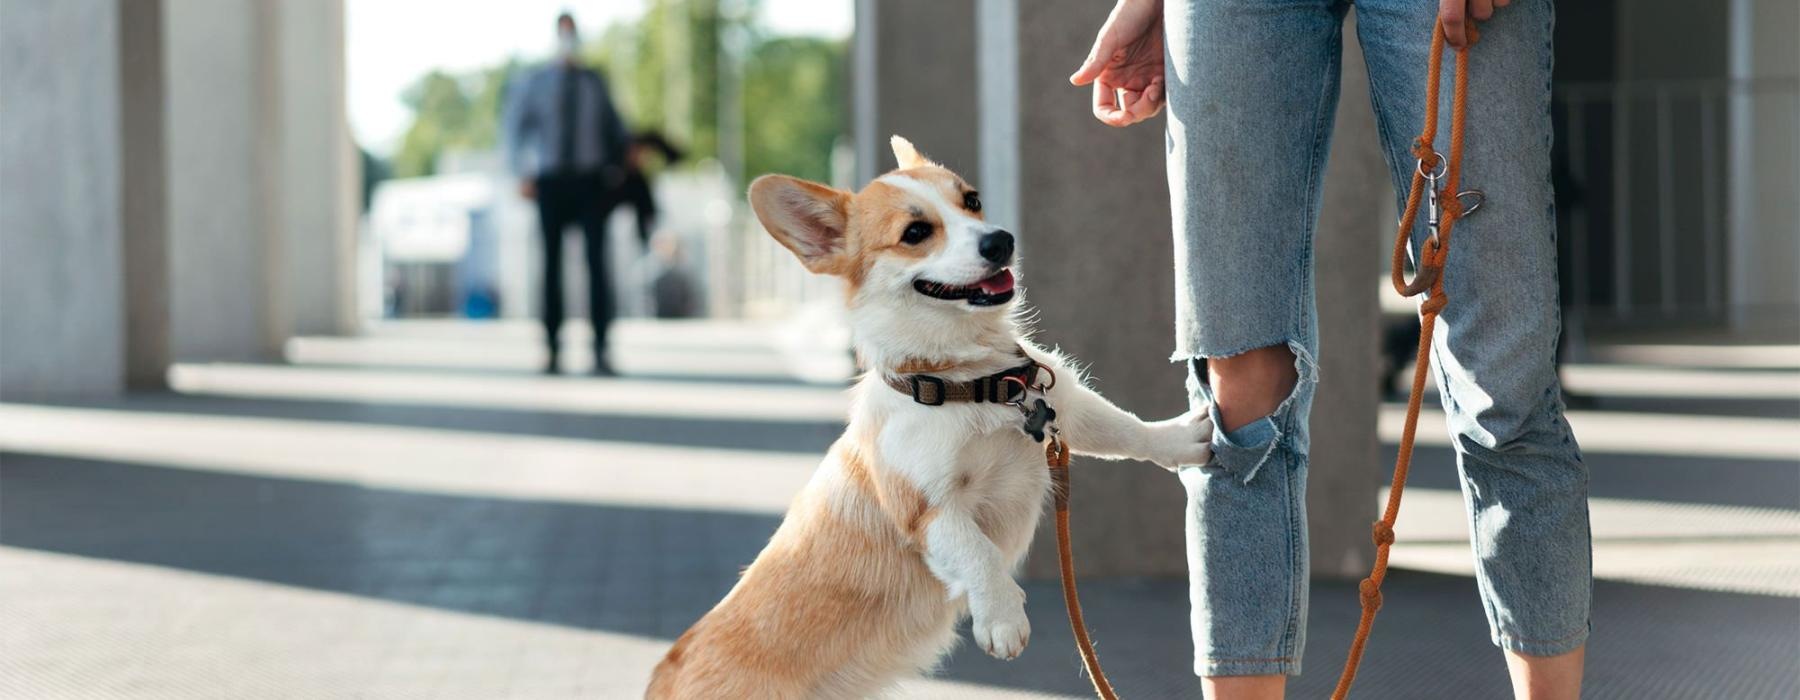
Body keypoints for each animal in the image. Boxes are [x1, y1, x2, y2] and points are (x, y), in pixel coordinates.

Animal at [648, 137, 1209, 698]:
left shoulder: (1062, 411)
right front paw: (1003, 618)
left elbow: (1123, 430)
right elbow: (978, 552)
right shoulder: (930, 507)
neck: (967, 384)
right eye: (915, 233)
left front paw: (1181, 440)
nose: (1001, 241)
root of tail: (663, 673)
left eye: (972, 201)